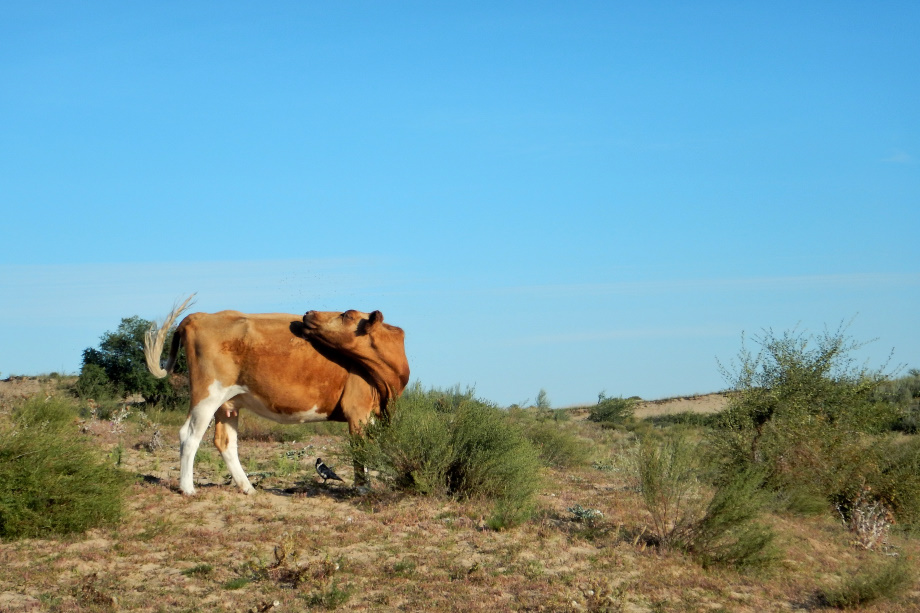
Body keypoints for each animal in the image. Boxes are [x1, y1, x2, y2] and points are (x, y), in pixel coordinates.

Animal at [145, 298, 410, 494]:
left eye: (346, 314)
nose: (308, 313)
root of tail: (202, 315)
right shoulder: (358, 411)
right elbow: (360, 452)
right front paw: (363, 490)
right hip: (207, 395)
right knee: (189, 436)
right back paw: (188, 488)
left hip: (227, 404)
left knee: (225, 442)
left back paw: (248, 488)